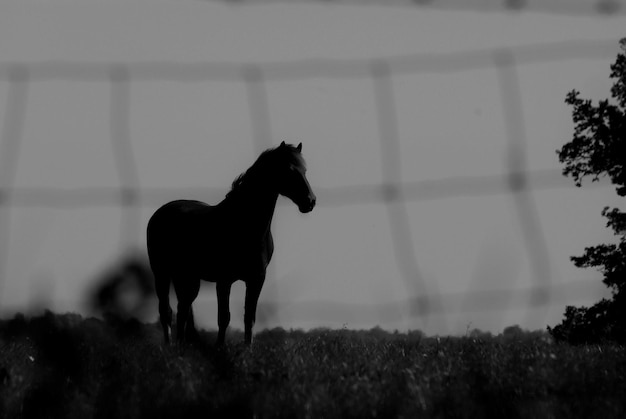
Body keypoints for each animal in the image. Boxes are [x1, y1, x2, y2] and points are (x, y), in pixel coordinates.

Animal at [145, 143, 312, 346]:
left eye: (305, 170)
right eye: (289, 170)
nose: (310, 201)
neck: (243, 225)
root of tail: (159, 213)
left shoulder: (257, 279)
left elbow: (249, 317)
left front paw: (247, 349)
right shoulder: (224, 280)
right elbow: (224, 317)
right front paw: (220, 347)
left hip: (187, 278)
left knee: (183, 309)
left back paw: (181, 346)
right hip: (161, 273)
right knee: (167, 311)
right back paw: (170, 346)